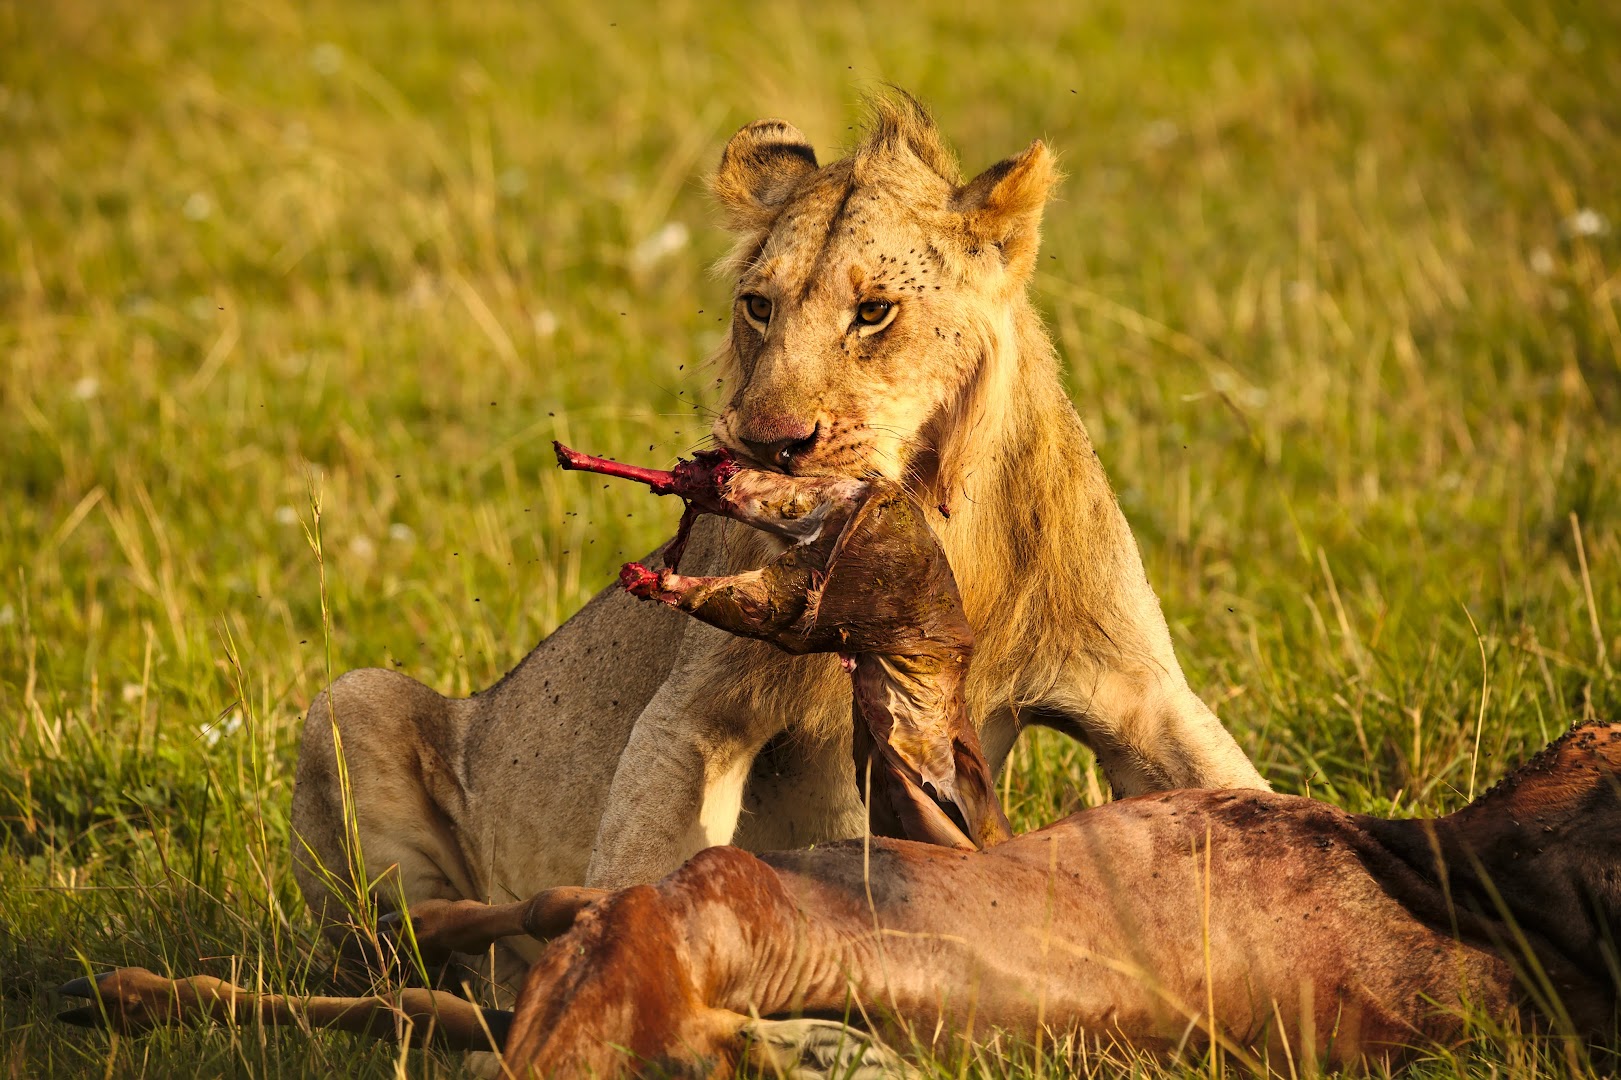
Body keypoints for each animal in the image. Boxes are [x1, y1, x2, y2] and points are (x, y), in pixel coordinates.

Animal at [291, 94, 1264, 992]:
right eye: (758, 307)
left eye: (873, 311)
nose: (769, 442)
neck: (939, 531)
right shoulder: (699, 706)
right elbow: (642, 852)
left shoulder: (1137, 691)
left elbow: (1242, 794)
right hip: (352, 701)